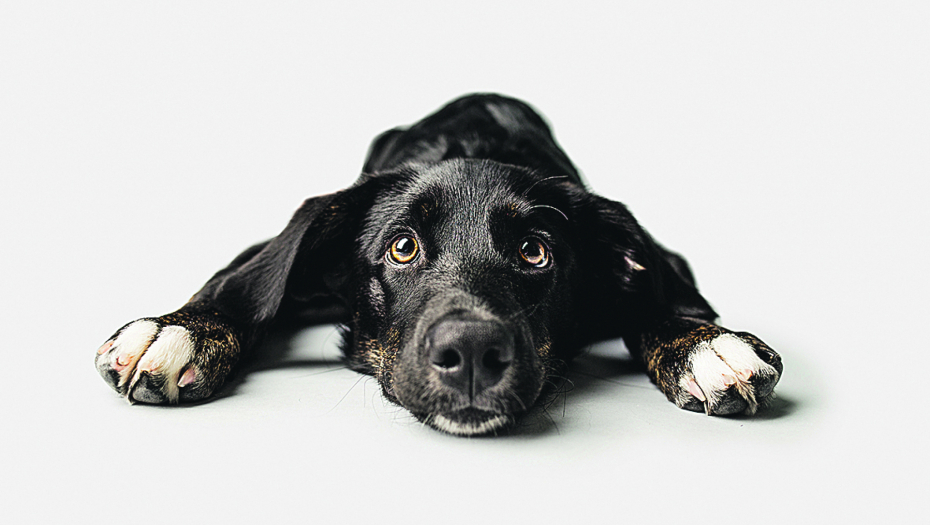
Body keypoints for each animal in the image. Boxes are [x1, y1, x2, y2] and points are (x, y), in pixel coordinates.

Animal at [94, 93, 780, 434]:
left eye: (536, 251)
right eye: (402, 247)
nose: (472, 352)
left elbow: (661, 300)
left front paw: (704, 342)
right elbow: (239, 284)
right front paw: (177, 332)